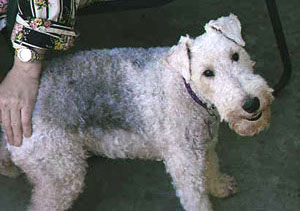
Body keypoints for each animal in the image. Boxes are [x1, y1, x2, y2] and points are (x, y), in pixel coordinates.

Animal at [0, 14, 274, 211]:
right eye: (207, 72)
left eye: (235, 55)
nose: (251, 104)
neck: (187, 90)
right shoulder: (185, 165)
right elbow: (197, 200)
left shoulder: (204, 147)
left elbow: (212, 167)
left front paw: (220, 186)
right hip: (61, 175)